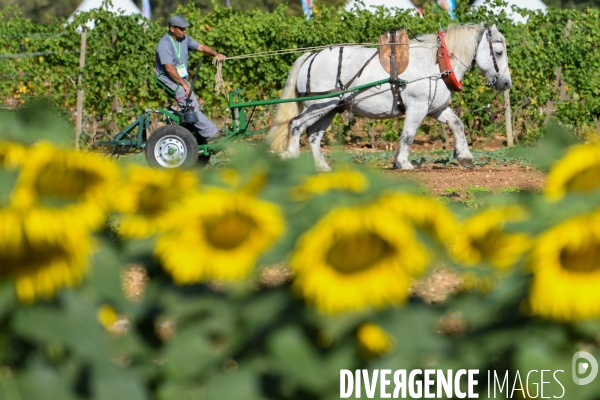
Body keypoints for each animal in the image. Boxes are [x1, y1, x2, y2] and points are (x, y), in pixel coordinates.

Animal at [266, 23, 510, 170]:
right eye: (498, 52)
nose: (507, 83)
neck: (435, 62)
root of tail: (310, 57)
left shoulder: (435, 108)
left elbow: (457, 124)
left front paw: (464, 156)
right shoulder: (417, 108)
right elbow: (408, 135)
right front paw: (403, 163)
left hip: (330, 109)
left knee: (314, 136)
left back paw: (323, 168)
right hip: (319, 105)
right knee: (296, 125)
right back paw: (292, 156)